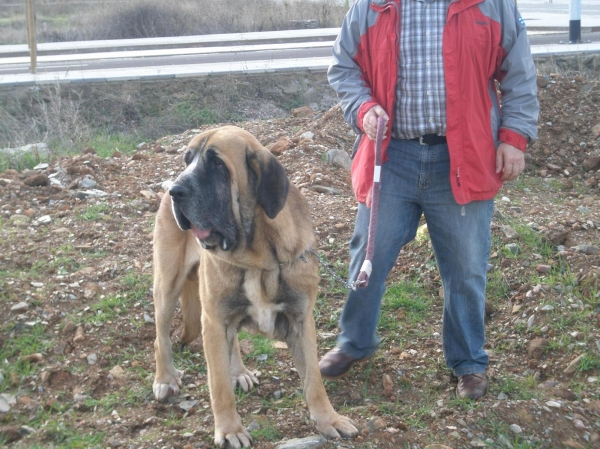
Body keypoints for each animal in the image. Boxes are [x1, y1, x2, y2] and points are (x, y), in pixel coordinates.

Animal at [152, 125, 356, 444]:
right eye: (188, 159)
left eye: (217, 164)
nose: (176, 191)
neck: (258, 258)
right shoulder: (214, 320)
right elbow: (219, 386)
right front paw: (229, 430)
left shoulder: (300, 319)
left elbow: (314, 379)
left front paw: (328, 419)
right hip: (168, 285)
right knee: (160, 336)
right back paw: (165, 379)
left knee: (231, 340)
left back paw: (238, 371)